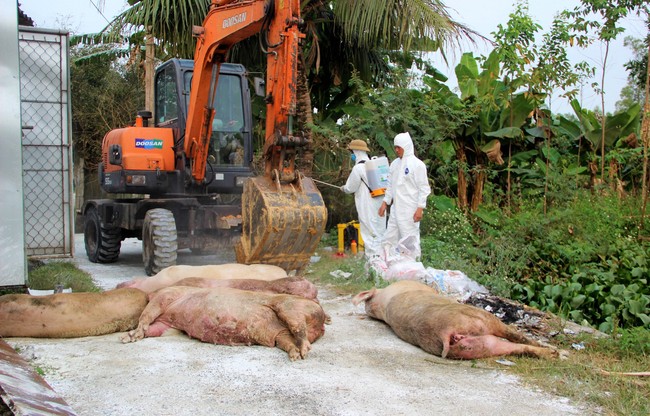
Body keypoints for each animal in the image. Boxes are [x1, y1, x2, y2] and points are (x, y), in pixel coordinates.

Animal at [121, 288, 326, 360]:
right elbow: (152, 328)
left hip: (288, 306)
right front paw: (127, 338)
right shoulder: (167, 325)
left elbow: (146, 316)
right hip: (280, 333)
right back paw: (296, 355)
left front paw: (127, 337)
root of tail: (322, 319)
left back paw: (304, 351)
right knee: (287, 340)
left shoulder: (166, 296)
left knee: (298, 327)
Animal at [352, 280, 560, 360]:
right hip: (482, 318)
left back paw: (552, 354)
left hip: (481, 346)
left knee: (515, 347)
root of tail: (444, 333)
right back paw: (556, 353)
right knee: (518, 338)